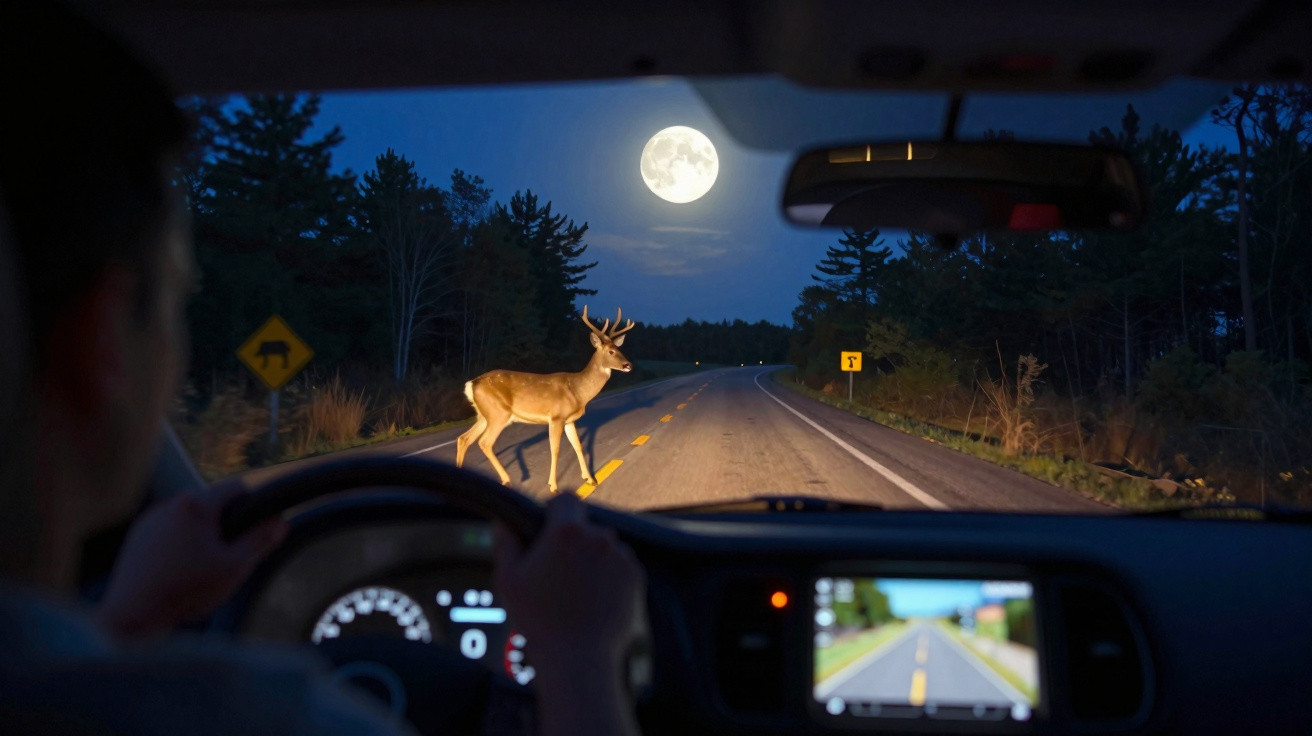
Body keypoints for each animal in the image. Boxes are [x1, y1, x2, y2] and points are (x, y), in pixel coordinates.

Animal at [456, 306, 636, 493]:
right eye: (611, 351)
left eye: (620, 349)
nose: (628, 365)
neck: (577, 390)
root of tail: (472, 384)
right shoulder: (556, 417)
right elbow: (555, 449)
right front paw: (553, 486)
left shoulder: (569, 420)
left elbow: (578, 445)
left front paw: (590, 479)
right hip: (499, 414)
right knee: (484, 442)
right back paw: (507, 479)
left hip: (484, 415)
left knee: (464, 439)